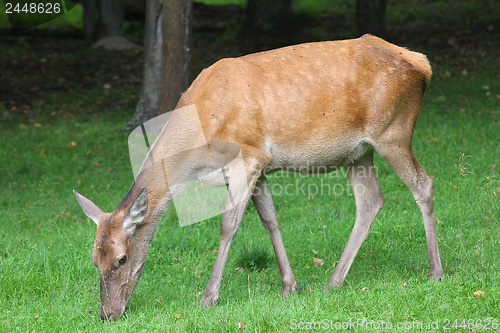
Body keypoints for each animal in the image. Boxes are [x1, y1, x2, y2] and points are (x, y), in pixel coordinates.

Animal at [73, 33, 442, 320]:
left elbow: (229, 225)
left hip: (393, 132)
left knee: (423, 184)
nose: (108, 314)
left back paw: (435, 272)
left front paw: (208, 297)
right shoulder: (261, 166)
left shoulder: (248, 156)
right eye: (93, 259)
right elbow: (269, 219)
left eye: (121, 258)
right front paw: (290, 286)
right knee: (370, 200)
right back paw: (333, 281)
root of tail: (422, 63)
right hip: (358, 152)